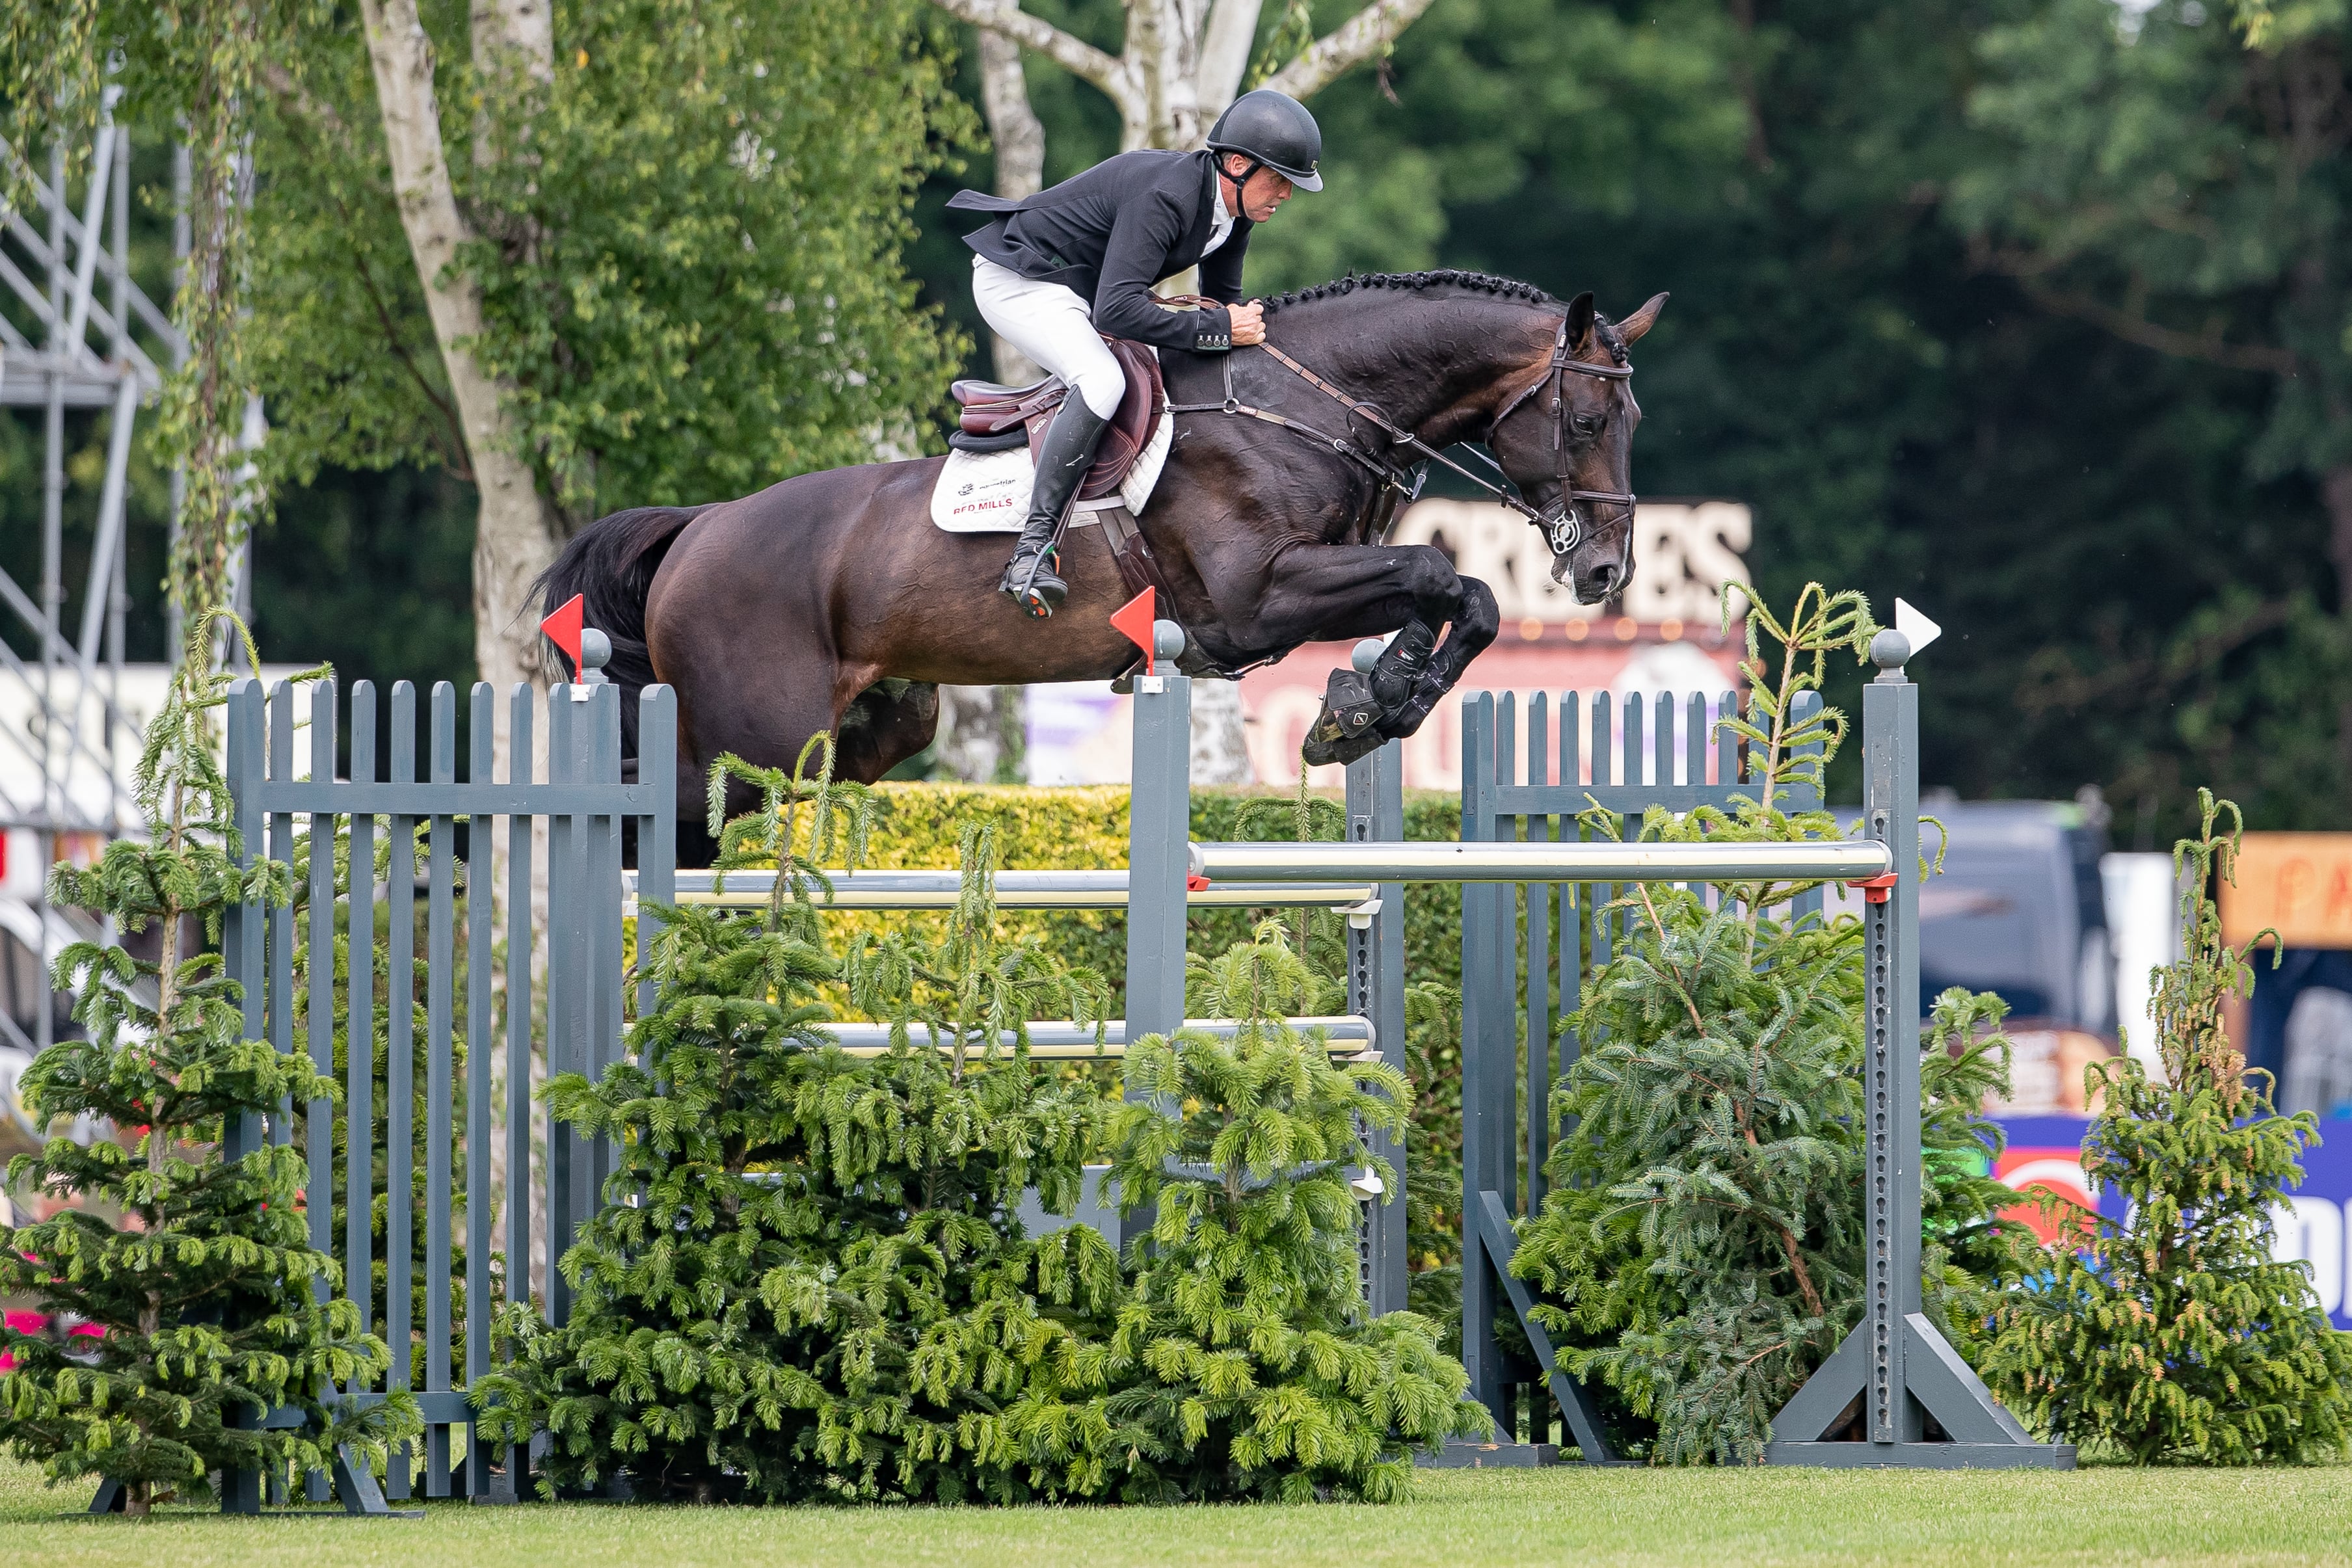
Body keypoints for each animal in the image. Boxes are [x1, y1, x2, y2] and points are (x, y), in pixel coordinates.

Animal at [541, 270, 1665, 860]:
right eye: (1588, 420)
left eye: (1633, 420)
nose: (1607, 575)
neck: (1302, 405)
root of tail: (698, 528)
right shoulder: (1259, 598)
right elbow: (1440, 574)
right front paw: (1369, 704)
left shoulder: (1318, 574)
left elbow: (1458, 597)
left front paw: (1366, 702)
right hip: (758, 742)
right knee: (668, 804)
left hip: (873, 724)